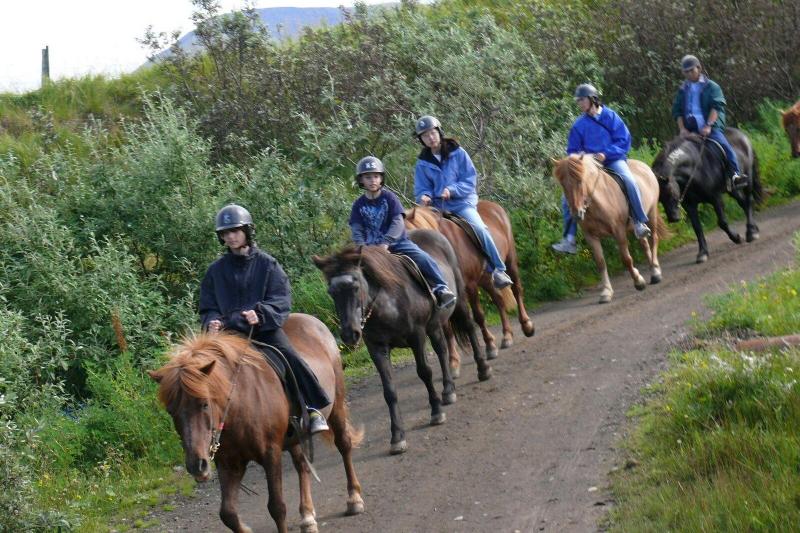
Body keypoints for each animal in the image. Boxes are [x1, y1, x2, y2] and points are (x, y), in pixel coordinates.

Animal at [148, 314, 366, 532]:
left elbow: (277, 507)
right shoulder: (229, 462)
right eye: (171, 411)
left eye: (204, 404)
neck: (239, 406)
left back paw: (354, 499)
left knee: (344, 444)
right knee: (302, 465)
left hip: (336, 406)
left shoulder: (270, 453)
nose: (197, 465)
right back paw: (307, 517)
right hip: (294, 436)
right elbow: (227, 513)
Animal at [310, 229, 488, 454]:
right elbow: (389, 391)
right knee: (442, 349)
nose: (350, 334)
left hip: (460, 301)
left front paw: (436, 411)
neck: (387, 303)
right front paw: (397, 436)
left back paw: (483, 369)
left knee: (470, 328)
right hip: (435, 325)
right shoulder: (377, 349)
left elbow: (425, 372)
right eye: (331, 292)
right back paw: (448, 391)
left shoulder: (417, 336)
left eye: (355, 285)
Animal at [406, 200, 536, 374]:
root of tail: (494, 206)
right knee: (499, 300)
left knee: (516, 290)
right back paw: (507, 335)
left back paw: (527, 325)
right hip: (486, 278)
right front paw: (453, 363)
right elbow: (447, 329)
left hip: (510, 261)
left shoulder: (470, 285)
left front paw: (490, 346)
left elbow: (478, 316)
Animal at [552, 154, 664, 304]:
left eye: (580, 181)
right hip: (633, 227)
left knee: (653, 240)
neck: (598, 203)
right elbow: (600, 263)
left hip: (651, 214)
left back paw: (656, 273)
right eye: (563, 184)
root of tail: (644, 166)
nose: (576, 213)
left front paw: (638, 281)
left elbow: (626, 259)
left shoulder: (618, 231)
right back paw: (652, 269)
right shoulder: (591, 236)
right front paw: (606, 292)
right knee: (644, 244)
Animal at [648, 128, 764, 262]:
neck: (694, 168)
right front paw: (703, 253)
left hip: (748, 178)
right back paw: (754, 228)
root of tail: (742, 135)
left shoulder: (716, 198)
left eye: (670, 192)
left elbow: (722, 222)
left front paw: (736, 238)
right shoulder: (690, 206)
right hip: (732, 190)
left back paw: (751, 233)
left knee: (749, 201)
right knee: (743, 203)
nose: (673, 218)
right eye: (659, 198)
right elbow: (697, 228)